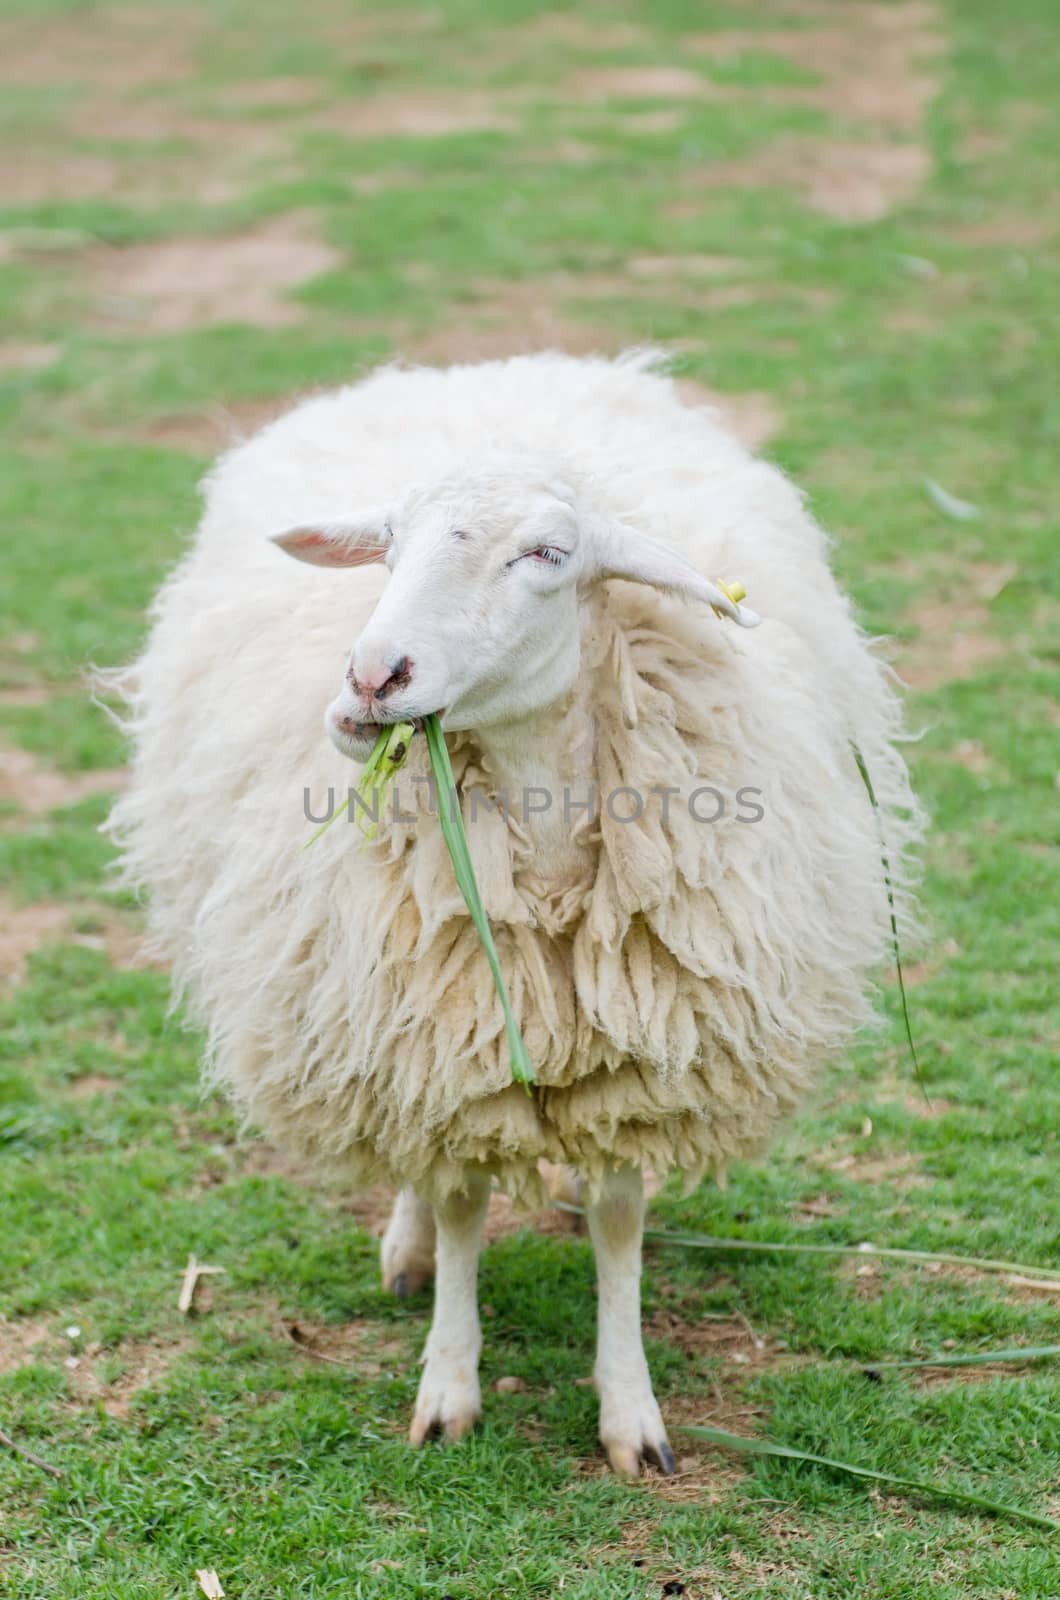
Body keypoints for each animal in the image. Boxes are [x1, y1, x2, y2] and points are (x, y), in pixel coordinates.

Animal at [109, 350, 922, 1472]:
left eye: (547, 553)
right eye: (388, 546)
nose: (371, 679)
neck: (544, 846)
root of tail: (490, 368)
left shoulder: (640, 1052)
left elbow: (620, 1220)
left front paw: (632, 1414)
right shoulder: (451, 1037)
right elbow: (460, 1203)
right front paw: (448, 1387)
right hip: (386, 1000)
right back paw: (405, 1248)